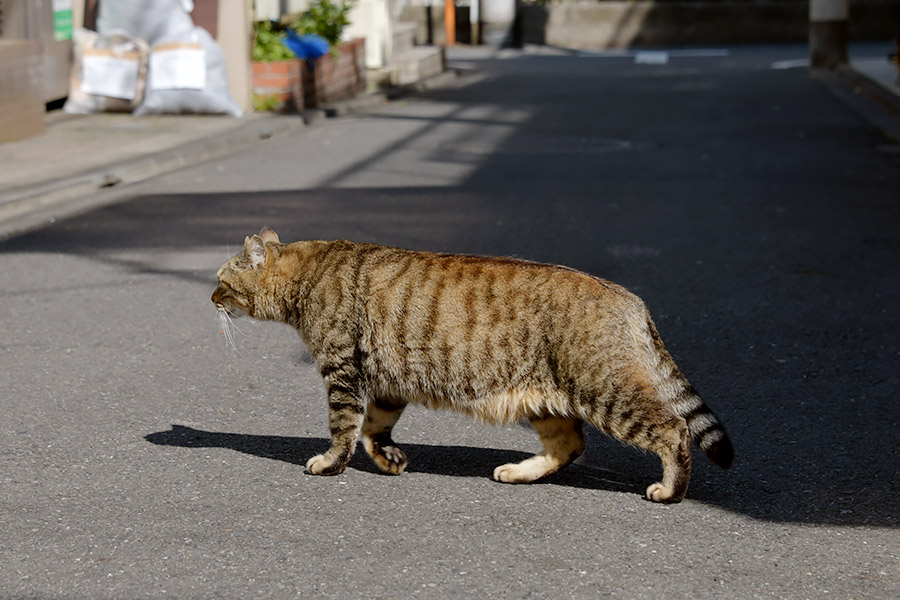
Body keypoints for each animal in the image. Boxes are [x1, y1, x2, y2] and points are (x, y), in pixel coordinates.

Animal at [214, 226, 736, 502]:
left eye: (220, 279)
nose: (211, 298)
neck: (308, 273)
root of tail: (630, 298)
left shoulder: (343, 372)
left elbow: (344, 429)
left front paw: (329, 464)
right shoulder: (385, 383)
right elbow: (374, 429)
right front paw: (389, 460)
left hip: (606, 390)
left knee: (673, 429)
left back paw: (670, 490)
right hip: (545, 401)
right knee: (568, 445)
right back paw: (517, 472)